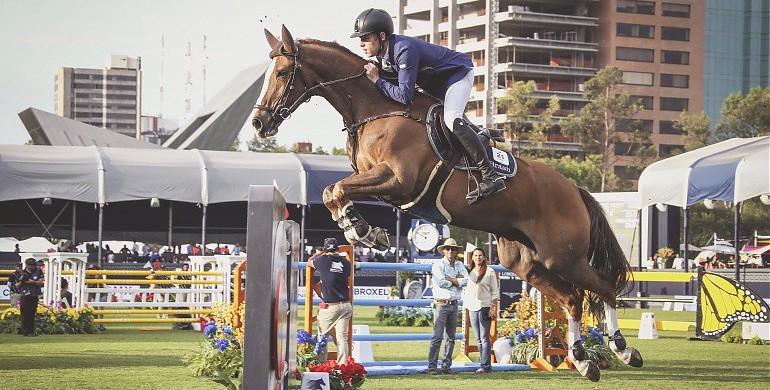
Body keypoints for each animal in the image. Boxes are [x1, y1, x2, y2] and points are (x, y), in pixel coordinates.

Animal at [254, 25, 640, 380]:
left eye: (282, 73)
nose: (260, 122)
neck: (376, 110)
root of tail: (575, 190)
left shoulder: (398, 181)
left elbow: (335, 190)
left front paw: (362, 230)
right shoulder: (381, 185)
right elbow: (333, 192)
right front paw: (362, 230)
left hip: (563, 255)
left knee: (604, 287)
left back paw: (622, 350)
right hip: (525, 262)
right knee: (573, 298)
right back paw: (583, 359)